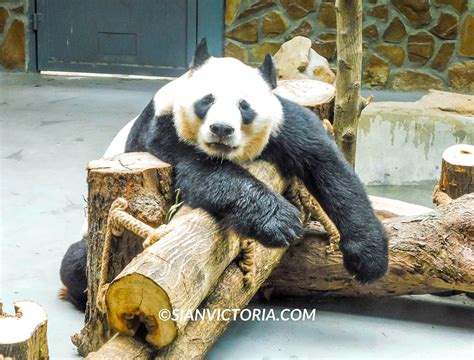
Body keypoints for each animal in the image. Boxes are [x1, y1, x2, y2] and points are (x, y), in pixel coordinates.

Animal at [59, 38, 388, 310]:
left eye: (244, 106)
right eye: (207, 100)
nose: (221, 129)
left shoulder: (282, 124)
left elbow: (328, 164)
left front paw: (368, 258)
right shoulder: (163, 132)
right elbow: (204, 173)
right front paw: (281, 222)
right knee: (74, 264)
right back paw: (78, 294)